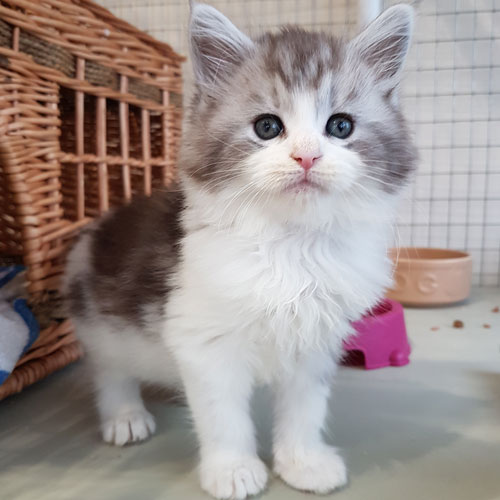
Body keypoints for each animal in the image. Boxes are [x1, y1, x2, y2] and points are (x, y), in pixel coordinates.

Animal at [64, 4, 416, 500]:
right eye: (267, 127)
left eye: (340, 126)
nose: (307, 157)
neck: (292, 245)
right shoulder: (204, 343)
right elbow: (223, 417)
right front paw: (232, 470)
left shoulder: (315, 345)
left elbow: (305, 410)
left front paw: (303, 462)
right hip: (100, 319)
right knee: (109, 371)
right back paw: (125, 416)